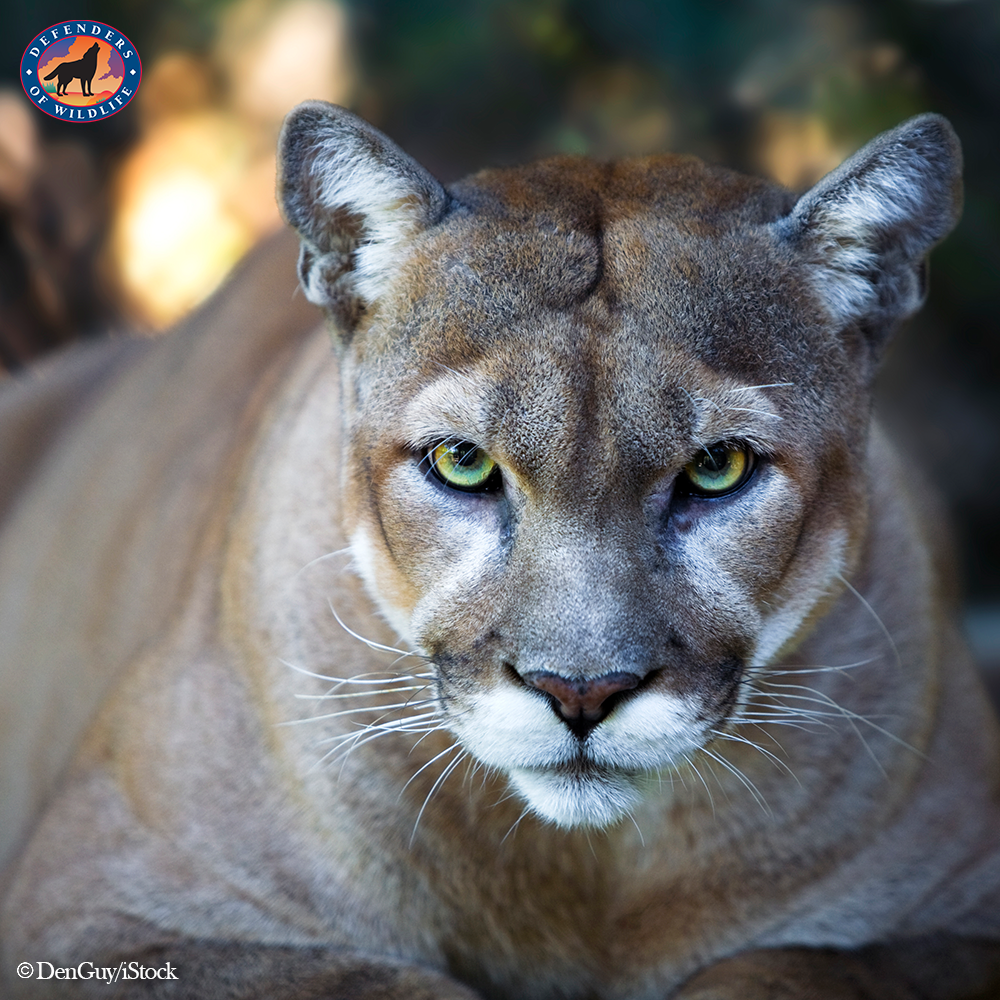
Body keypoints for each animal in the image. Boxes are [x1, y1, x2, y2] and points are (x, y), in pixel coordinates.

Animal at [1, 105, 1000, 996]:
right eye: (463, 462)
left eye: (718, 468)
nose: (581, 693)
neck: (587, 878)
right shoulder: (98, 901)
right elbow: (379, 984)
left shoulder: (960, 913)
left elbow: (788, 965)